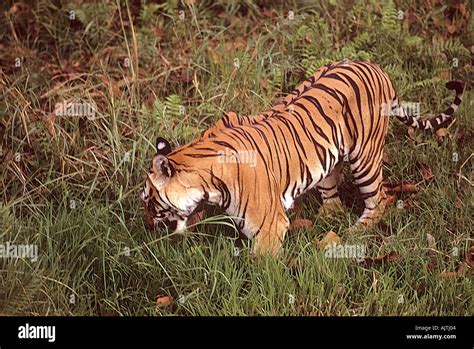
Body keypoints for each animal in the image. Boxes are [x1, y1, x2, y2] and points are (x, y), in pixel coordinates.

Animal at [139, 59, 464, 254]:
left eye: (149, 200)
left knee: (379, 198)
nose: (147, 227)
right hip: (327, 161)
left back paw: (356, 231)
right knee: (333, 197)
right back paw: (325, 220)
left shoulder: (269, 227)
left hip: (366, 158)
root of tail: (376, 67)